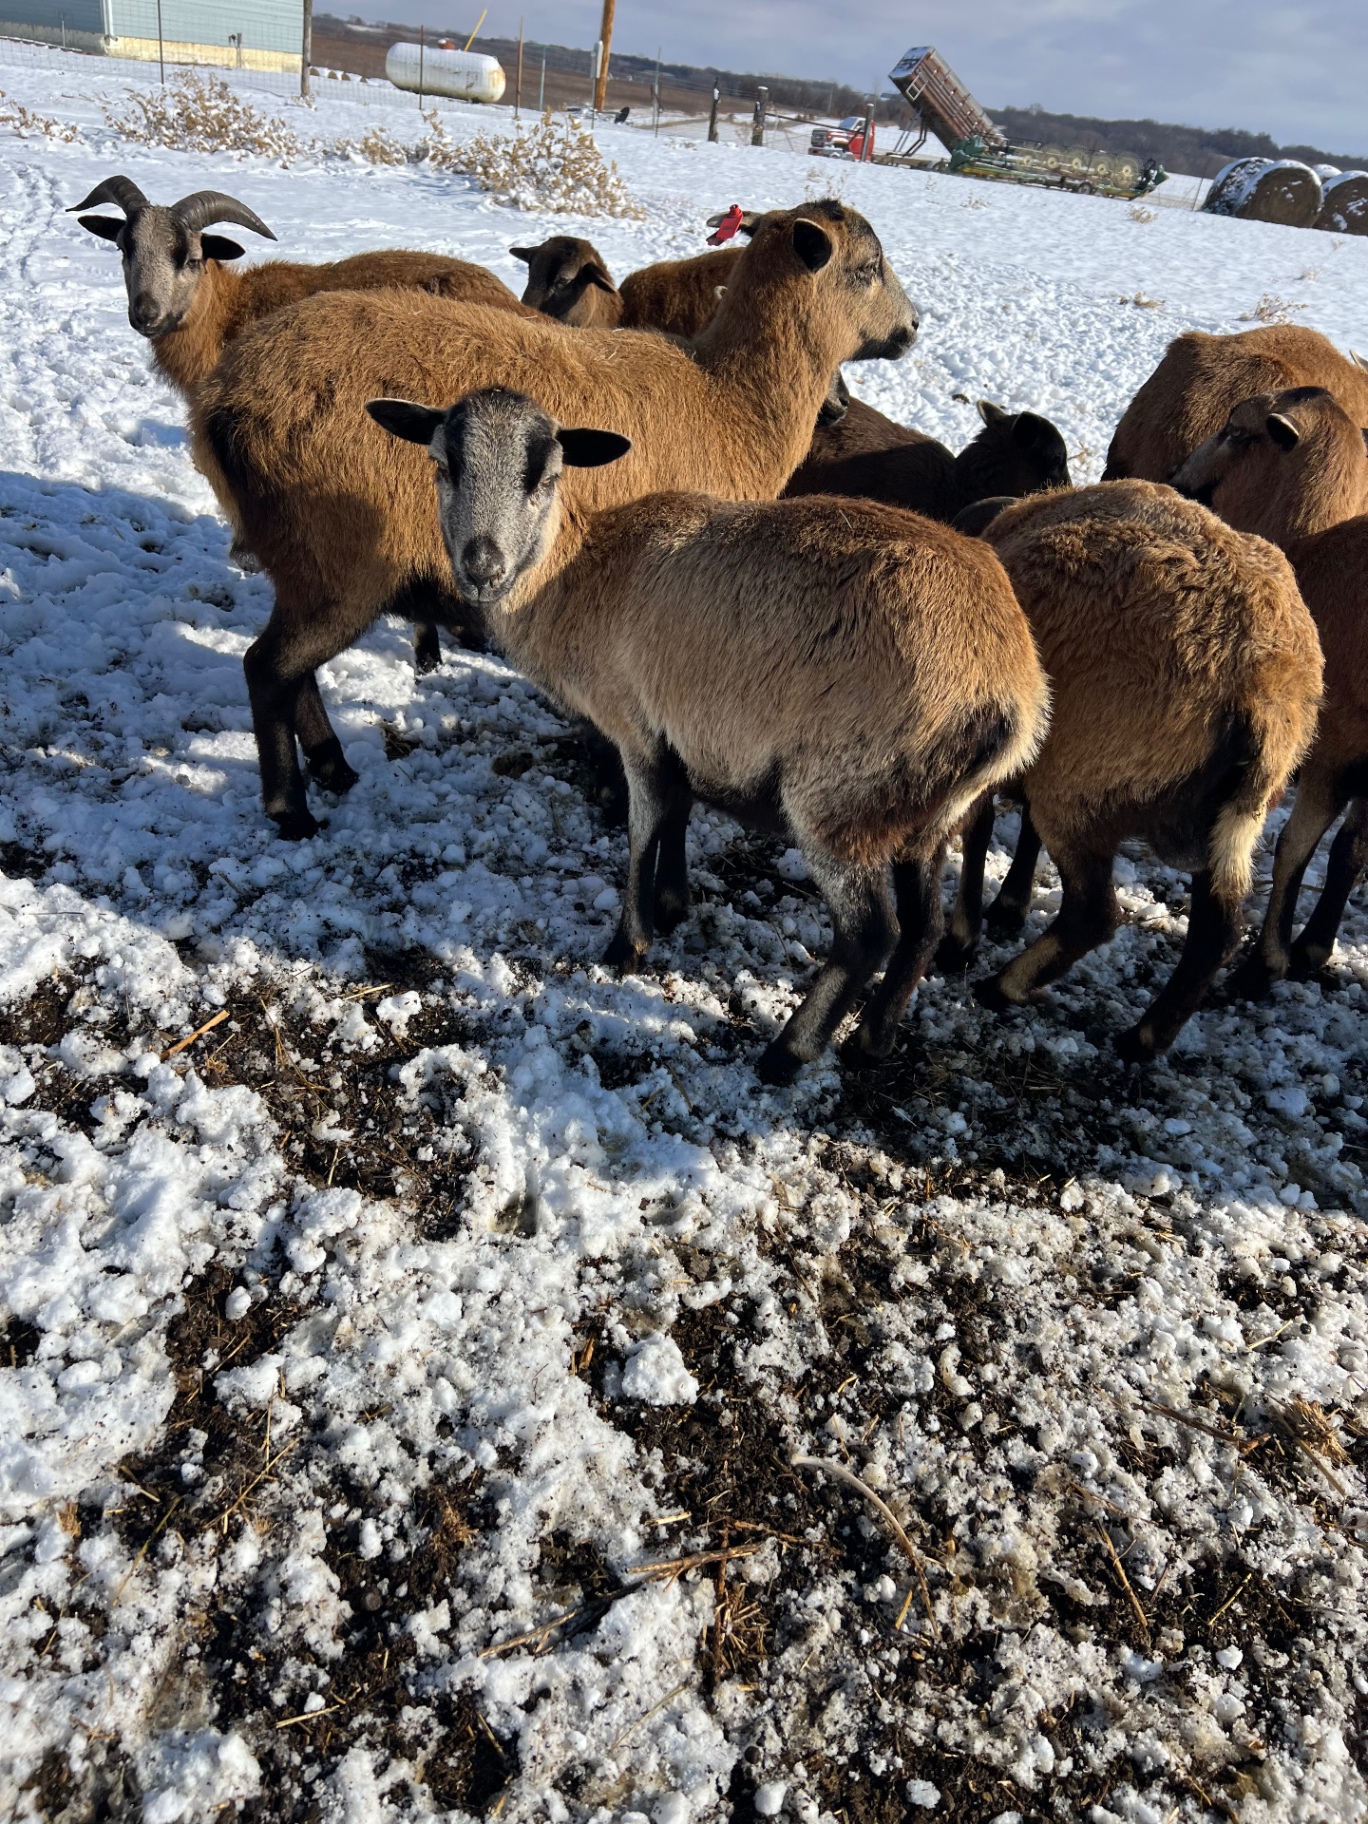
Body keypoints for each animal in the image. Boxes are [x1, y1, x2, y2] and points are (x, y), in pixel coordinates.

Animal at [191, 199, 919, 840]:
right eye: (868, 266)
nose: (912, 327)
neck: (734, 404)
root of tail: (224, 399)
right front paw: (614, 797)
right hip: (340, 561)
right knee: (268, 668)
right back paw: (292, 807)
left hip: (305, 561)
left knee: (292, 671)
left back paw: (334, 767)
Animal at [936, 481, 1322, 1060]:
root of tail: (1266, 685)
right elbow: (1019, 831)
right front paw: (1008, 907)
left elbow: (980, 833)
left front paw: (962, 939)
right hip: (1228, 821)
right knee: (1217, 932)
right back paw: (1144, 1038)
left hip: (1082, 786)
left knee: (1095, 913)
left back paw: (1003, 986)